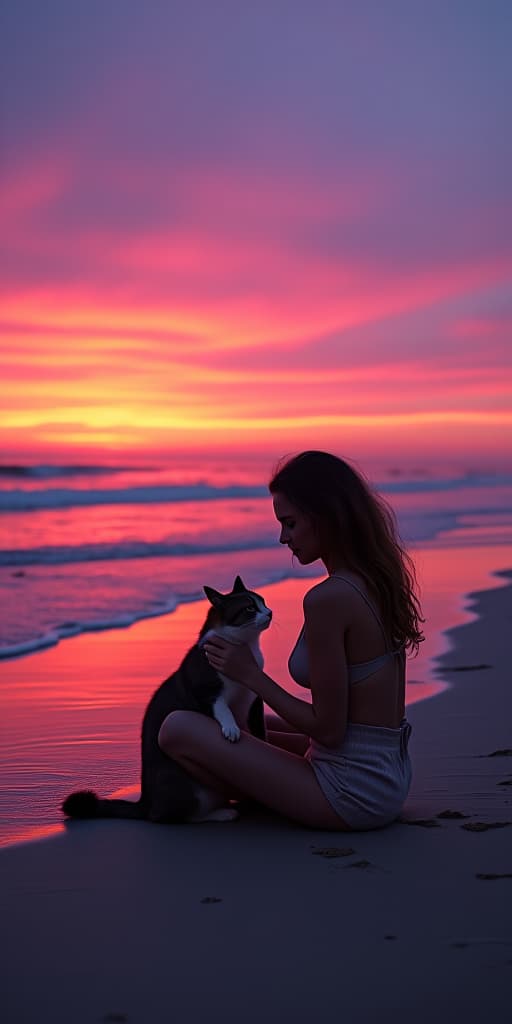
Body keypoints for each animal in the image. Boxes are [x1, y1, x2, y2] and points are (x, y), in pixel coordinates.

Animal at [61, 577, 272, 823]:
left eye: (263, 602)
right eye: (249, 608)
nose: (269, 612)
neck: (246, 648)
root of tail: (145, 802)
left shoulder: (255, 698)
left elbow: (259, 727)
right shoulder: (206, 688)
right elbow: (221, 707)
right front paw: (231, 728)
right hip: (181, 783)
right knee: (171, 816)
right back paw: (221, 813)